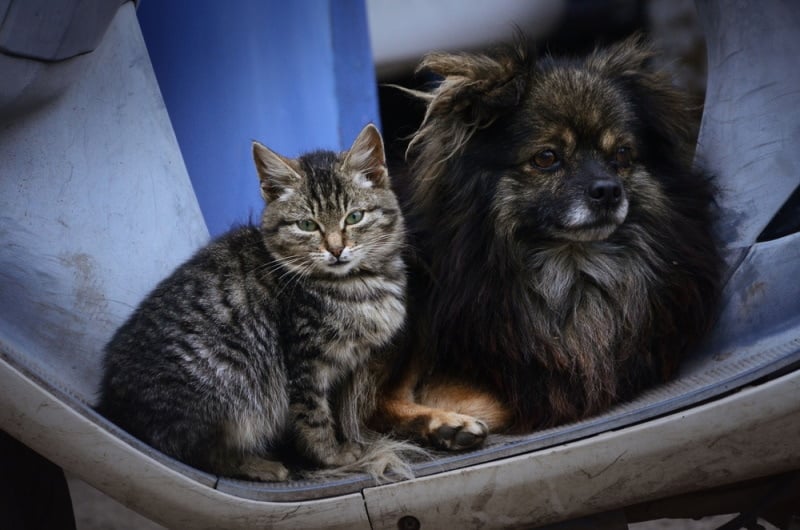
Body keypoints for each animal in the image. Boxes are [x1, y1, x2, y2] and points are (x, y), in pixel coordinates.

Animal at [95, 124, 406, 478]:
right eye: (307, 225)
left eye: (354, 217)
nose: (336, 249)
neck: (357, 283)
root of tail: (113, 400)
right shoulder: (303, 364)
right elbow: (314, 418)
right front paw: (334, 457)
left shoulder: (348, 369)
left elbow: (342, 413)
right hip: (228, 390)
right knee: (195, 452)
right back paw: (262, 466)